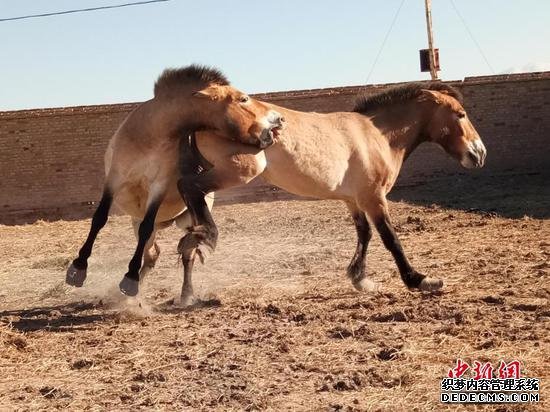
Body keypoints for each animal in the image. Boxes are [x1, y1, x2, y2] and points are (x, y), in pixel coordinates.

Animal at [66, 63, 284, 296]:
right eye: (243, 99)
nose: (279, 119)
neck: (151, 134)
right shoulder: (114, 178)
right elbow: (99, 218)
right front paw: (78, 269)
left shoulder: (158, 187)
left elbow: (146, 228)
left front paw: (130, 278)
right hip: (138, 220)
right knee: (152, 254)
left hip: (187, 222)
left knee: (186, 255)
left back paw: (184, 294)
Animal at [179, 82, 490, 300]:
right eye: (460, 114)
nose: (480, 153)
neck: (376, 135)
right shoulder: (374, 198)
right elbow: (390, 238)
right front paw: (419, 280)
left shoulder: (354, 200)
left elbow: (364, 234)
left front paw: (360, 278)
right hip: (240, 170)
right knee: (189, 187)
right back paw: (207, 236)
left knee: (189, 227)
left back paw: (188, 289)